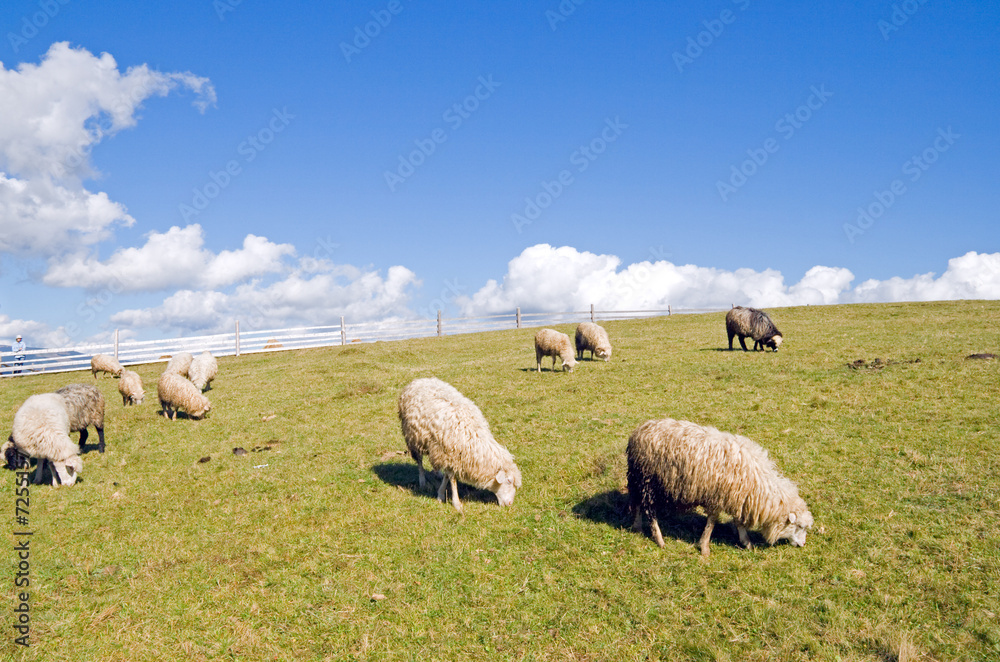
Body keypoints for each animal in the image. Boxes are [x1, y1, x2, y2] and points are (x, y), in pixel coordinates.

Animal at [398, 377, 522, 513]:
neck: (473, 438)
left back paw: (437, 473)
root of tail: (419, 380)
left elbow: (447, 476)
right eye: (509, 481)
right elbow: (452, 479)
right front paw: (455, 502)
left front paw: (441, 493)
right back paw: (422, 481)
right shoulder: (450, 454)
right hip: (414, 436)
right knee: (419, 460)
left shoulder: (449, 455)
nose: (509, 504)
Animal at [626, 418, 813, 556]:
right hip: (648, 481)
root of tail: (638, 431)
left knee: (636, 503)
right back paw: (659, 539)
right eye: (799, 526)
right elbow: (712, 522)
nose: (803, 544)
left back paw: (636, 527)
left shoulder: (738, 497)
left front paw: (746, 542)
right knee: (649, 510)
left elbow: (738, 521)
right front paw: (704, 547)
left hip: (638, 481)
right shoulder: (718, 496)